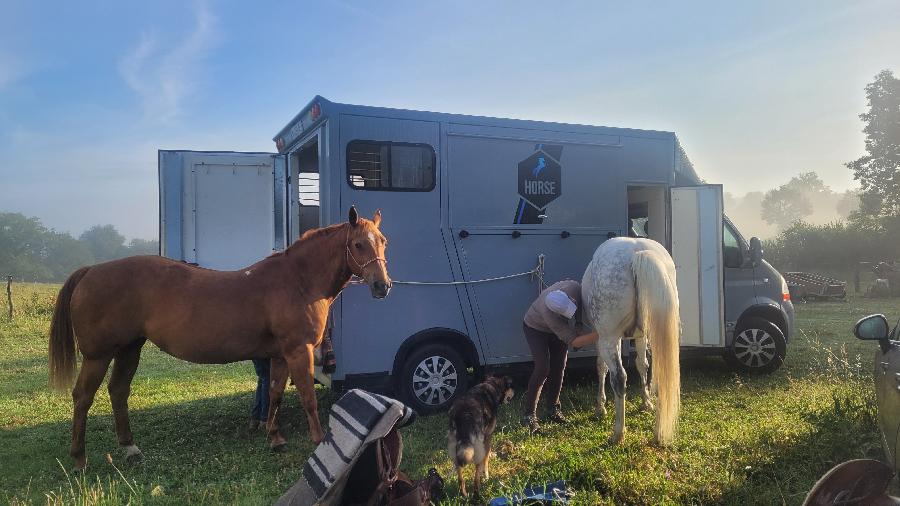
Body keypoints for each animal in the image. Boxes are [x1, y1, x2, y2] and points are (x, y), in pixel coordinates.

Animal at [48, 206, 391, 470]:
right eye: (359, 244)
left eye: (383, 242)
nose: (382, 286)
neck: (298, 281)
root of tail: (92, 270)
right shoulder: (298, 350)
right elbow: (307, 396)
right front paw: (319, 441)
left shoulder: (280, 355)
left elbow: (276, 395)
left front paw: (275, 439)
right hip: (98, 355)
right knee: (83, 397)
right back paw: (79, 459)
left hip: (129, 349)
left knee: (118, 391)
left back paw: (130, 450)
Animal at [580, 237, 681, 445]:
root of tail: (637, 253)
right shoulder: (641, 336)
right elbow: (642, 365)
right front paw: (646, 402)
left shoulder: (604, 337)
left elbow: (601, 367)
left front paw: (600, 407)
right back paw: (658, 431)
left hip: (608, 338)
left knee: (619, 377)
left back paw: (618, 433)